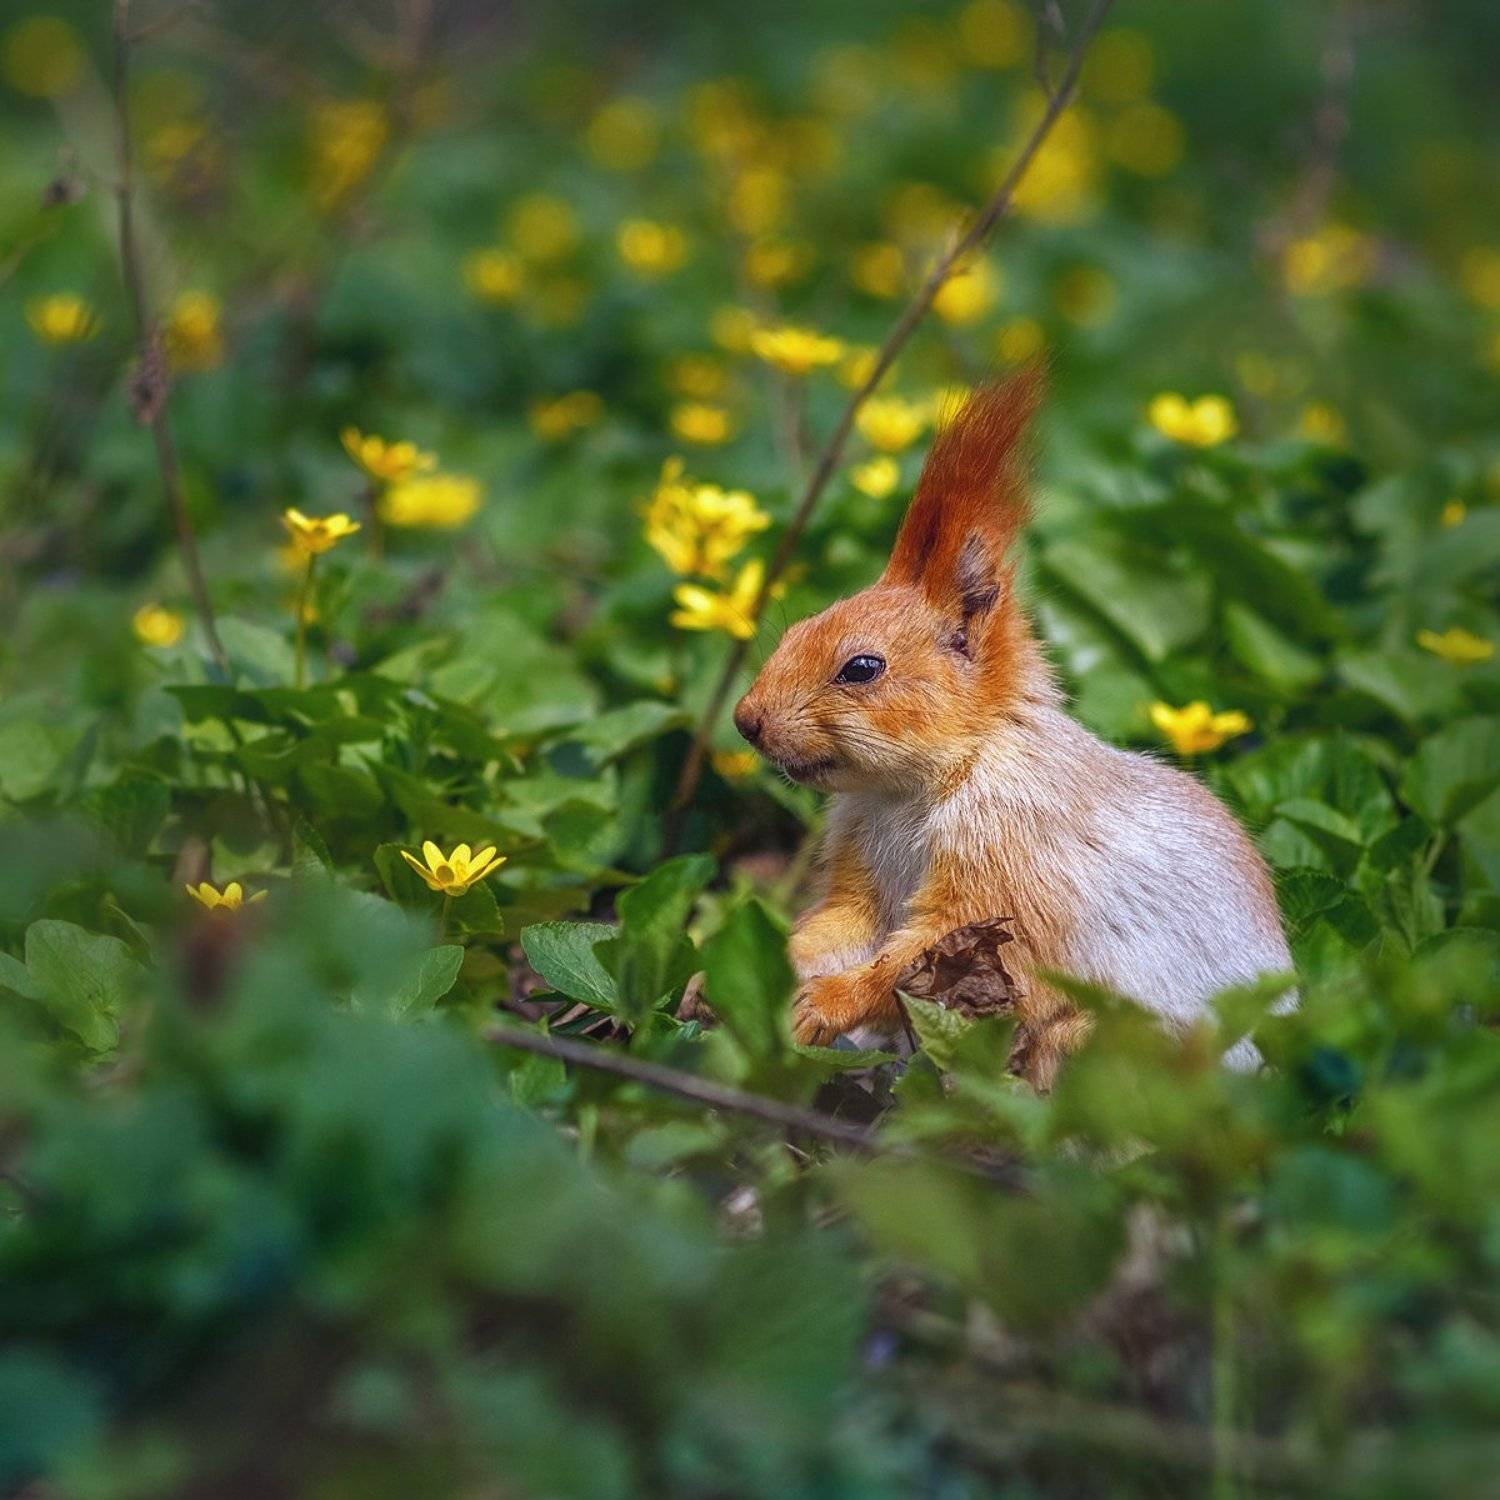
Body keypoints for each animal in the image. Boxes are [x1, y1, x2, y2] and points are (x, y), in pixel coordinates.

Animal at [732, 372, 1293, 1089]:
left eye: (862, 667)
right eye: (797, 629)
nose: (746, 720)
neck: (907, 792)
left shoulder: (1012, 864)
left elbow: (922, 963)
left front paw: (827, 1002)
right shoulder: (863, 866)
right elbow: (843, 927)